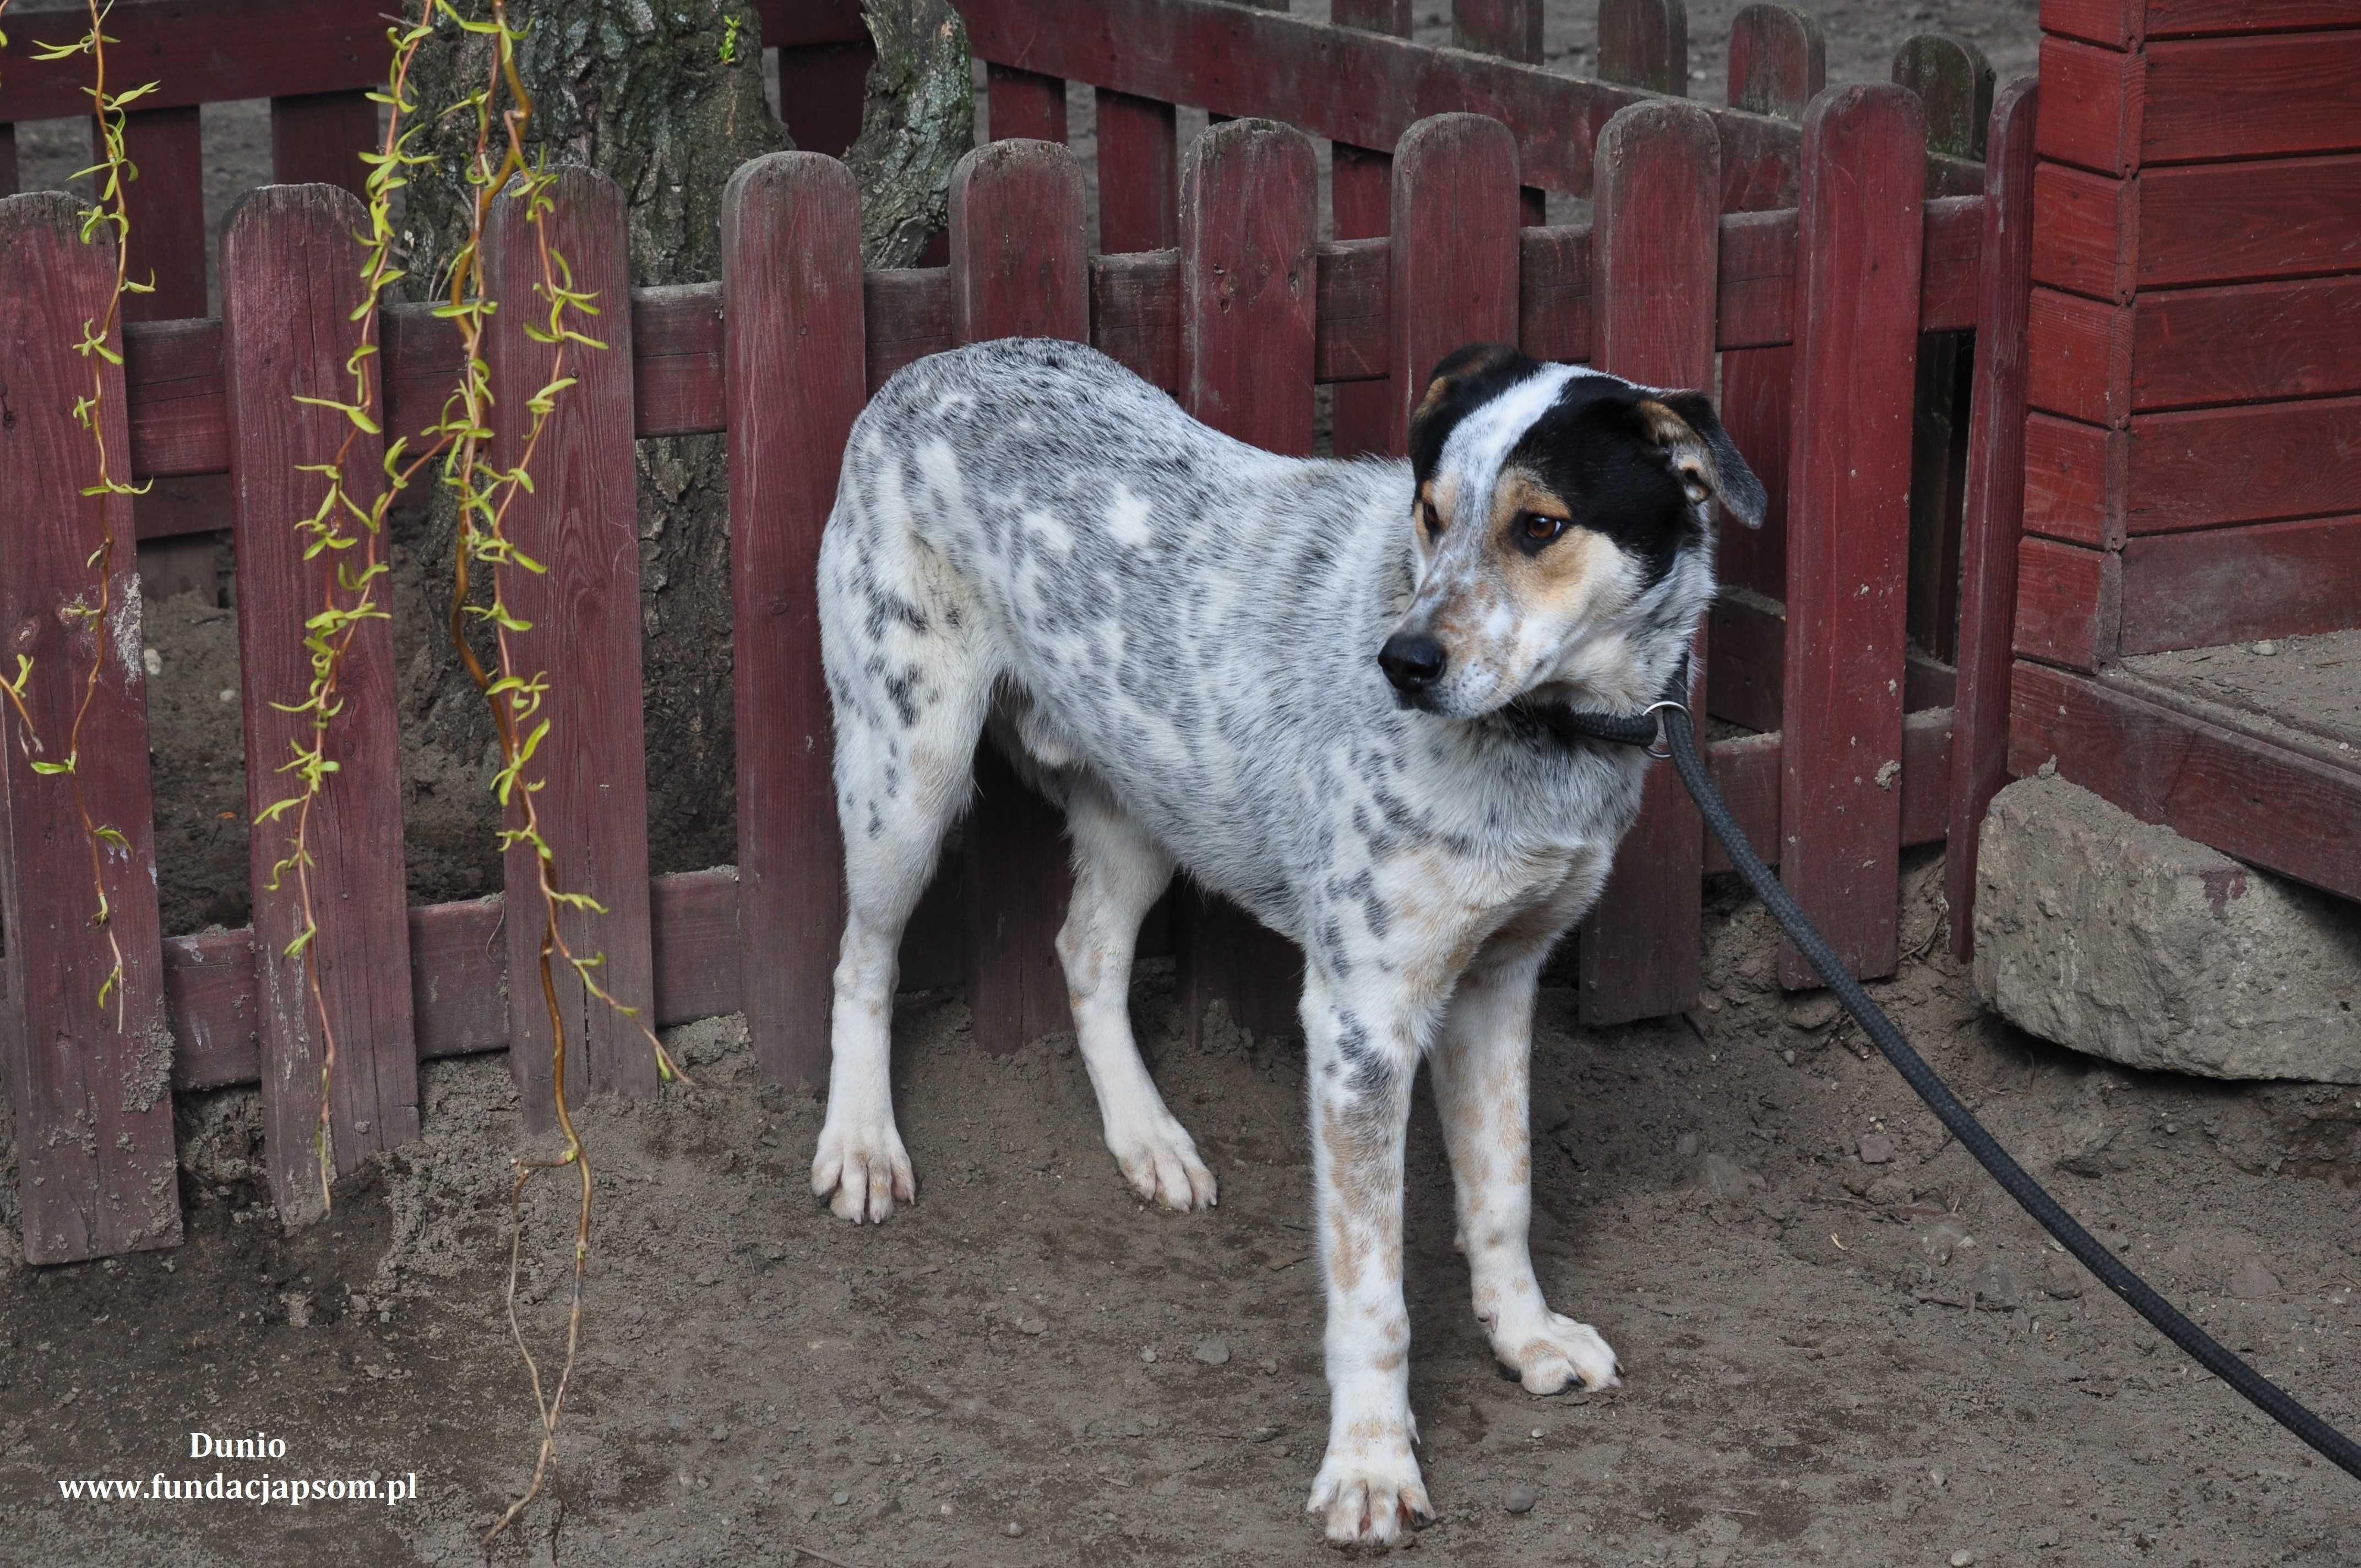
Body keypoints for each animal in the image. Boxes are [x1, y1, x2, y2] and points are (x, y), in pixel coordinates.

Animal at [807, 337, 1756, 1549]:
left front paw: (1525, 1336)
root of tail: (930, 365)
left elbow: (1502, 1193)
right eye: (1428, 511)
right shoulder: (1359, 1020)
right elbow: (1370, 1286)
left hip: (1145, 804)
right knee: (861, 959)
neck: (1543, 743)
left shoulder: (1498, 981)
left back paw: (1148, 1139)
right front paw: (1369, 1464)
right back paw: (860, 1144)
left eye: (1539, 525)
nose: (1400, 662)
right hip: (907, 772)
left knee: (1082, 952)